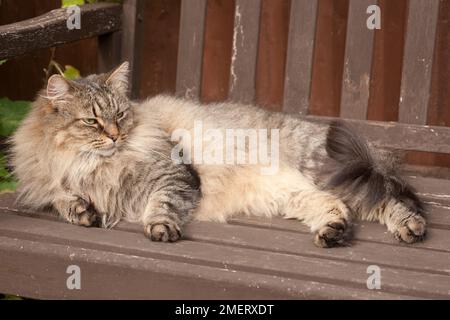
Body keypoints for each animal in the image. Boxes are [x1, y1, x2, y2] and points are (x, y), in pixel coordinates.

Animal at [10, 62, 426, 248]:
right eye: (93, 121)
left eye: (120, 116)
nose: (115, 135)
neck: (90, 164)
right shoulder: (50, 181)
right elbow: (62, 198)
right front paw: (81, 211)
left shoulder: (175, 175)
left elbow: (161, 205)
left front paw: (159, 228)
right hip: (296, 193)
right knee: (335, 208)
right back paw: (332, 231)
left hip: (331, 173)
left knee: (389, 199)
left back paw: (410, 227)